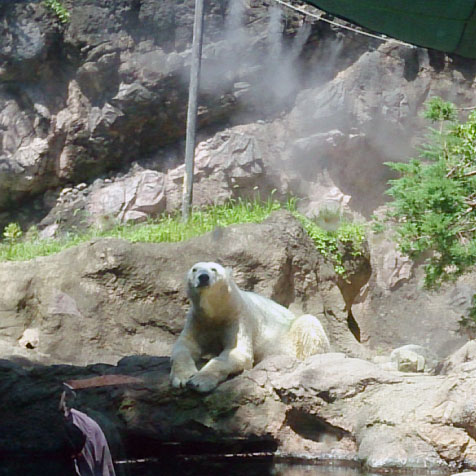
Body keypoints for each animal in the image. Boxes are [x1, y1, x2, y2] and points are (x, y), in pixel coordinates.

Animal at [171, 262, 330, 392]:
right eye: (194, 269)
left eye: (213, 269)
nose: (203, 277)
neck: (217, 311)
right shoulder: (198, 320)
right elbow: (185, 346)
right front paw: (183, 378)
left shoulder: (238, 318)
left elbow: (237, 351)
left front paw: (198, 381)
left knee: (308, 324)